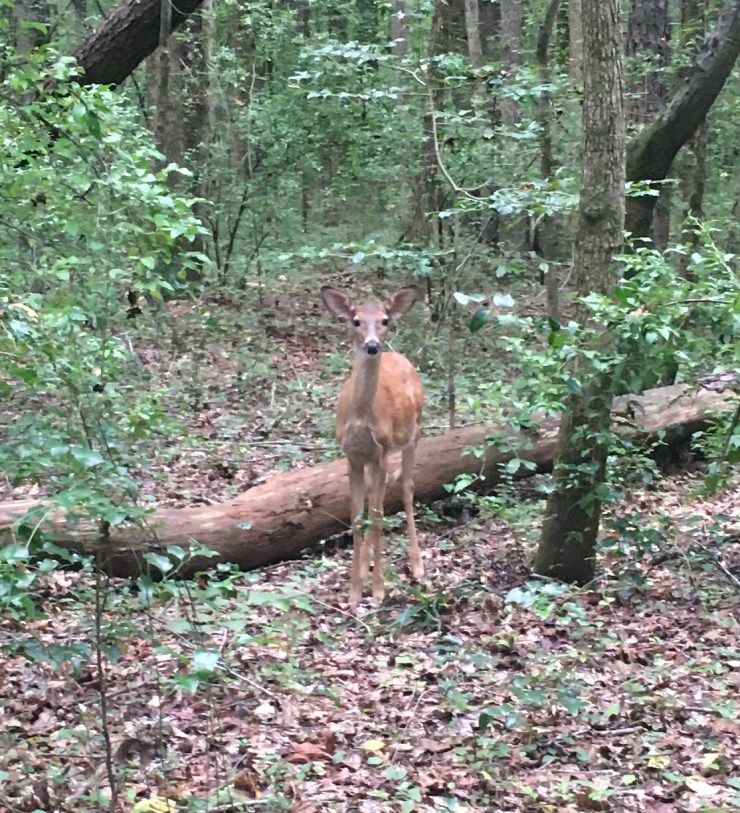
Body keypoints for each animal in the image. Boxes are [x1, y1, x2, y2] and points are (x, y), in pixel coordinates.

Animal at [320, 285, 425, 607]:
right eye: (355, 320)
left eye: (385, 320)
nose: (372, 346)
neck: (360, 418)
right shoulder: (352, 456)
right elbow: (357, 517)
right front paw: (354, 591)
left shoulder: (381, 451)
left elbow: (377, 517)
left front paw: (378, 590)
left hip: (413, 433)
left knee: (406, 486)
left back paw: (417, 564)